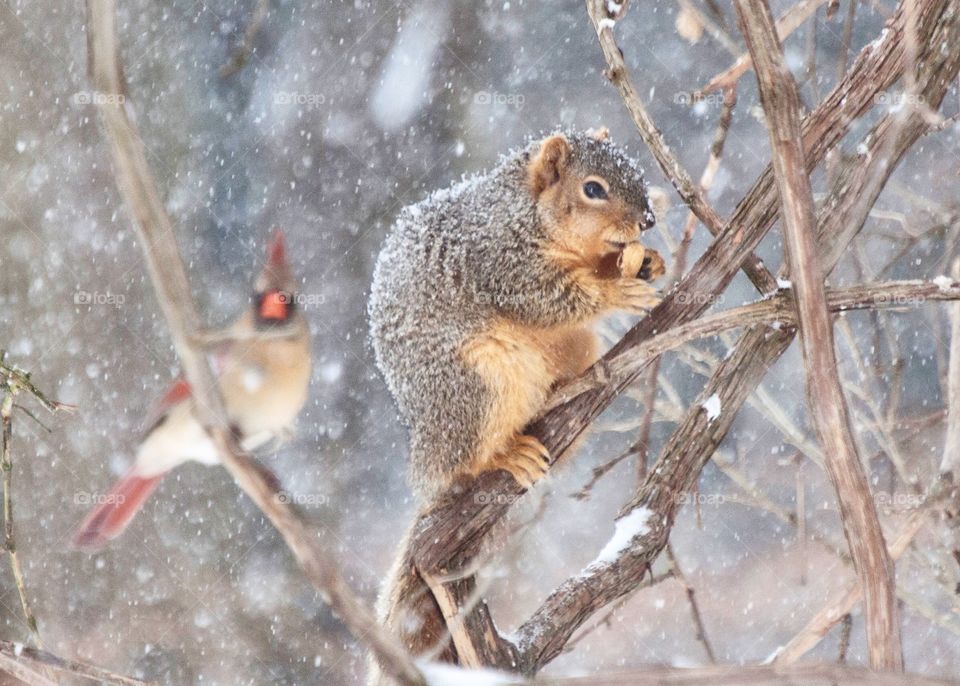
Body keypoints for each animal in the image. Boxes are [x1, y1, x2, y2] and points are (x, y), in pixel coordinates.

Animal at [370, 130, 668, 506]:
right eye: (593, 189)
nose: (649, 219)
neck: (524, 211)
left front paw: (648, 262)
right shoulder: (504, 264)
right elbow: (549, 301)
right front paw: (617, 292)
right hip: (476, 387)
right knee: (462, 465)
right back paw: (506, 456)